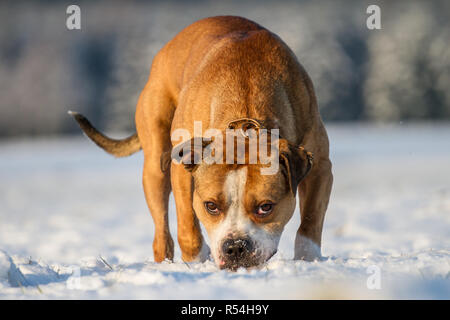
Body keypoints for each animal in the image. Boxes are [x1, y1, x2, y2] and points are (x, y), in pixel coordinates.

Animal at [69, 15, 330, 270]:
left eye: (266, 207)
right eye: (211, 206)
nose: (235, 247)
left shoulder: (319, 168)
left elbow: (310, 222)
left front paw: (308, 261)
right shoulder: (182, 170)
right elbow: (188, 227)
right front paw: (195, 263)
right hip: (155, 166)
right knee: (161, 231)